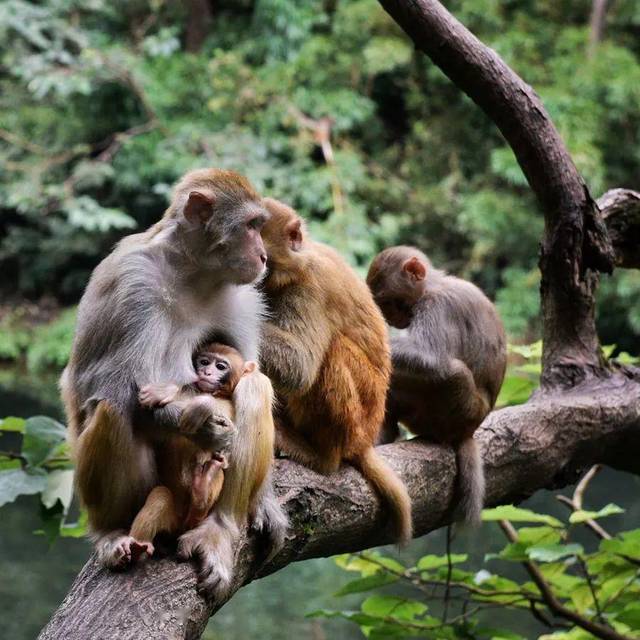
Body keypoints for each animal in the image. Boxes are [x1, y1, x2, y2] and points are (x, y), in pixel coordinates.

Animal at [121, 344, 256, 560]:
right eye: (204, 361)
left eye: (220, 366)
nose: (206, 372)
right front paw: (167, 391)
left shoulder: (228, 405)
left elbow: (227, 431)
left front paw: (202, 404)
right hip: (174, 519)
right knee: (160, 496)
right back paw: (138, 545)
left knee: (217, 470)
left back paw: (202, 491)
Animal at [258, 198, 412, 544]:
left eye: (264, 259)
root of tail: (365, 440)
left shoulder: (310, 288)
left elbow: (300, 367)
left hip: (360, 416)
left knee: (333, 352)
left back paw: (322, 456)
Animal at [368, 245, 508, 524]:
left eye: (388, 302)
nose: (390, 319)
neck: (433, 286)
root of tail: (469, 430)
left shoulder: (436, 306)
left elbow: (429, 357)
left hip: (454, 411)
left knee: (452, 372)